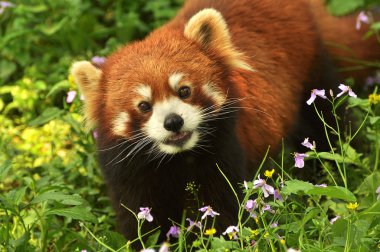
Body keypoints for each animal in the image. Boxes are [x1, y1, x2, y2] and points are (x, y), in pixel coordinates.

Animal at [70, 0, 378, 244]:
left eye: (184, 90)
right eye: (144, 106)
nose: (173, 121)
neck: (176, 160)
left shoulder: (224, 151)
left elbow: (223, 211)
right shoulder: (129, 174)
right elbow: (141, 221)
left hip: (312, 72)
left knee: (328, 119)